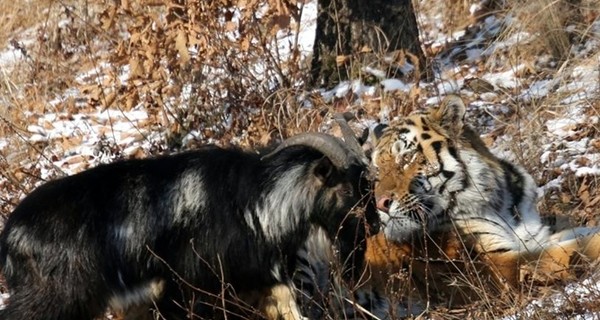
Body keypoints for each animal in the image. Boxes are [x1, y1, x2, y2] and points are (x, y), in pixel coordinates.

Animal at [0, 131, 378, 318]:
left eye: (369, 183)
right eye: (347, 189)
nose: (373, 225)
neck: (255, 202)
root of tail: (10, 237)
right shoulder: (192, 290)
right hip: (54, 299)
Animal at [364, 94, 600, 308]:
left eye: (406, 158)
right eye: (377, 172)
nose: (381, 204)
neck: (498, 202)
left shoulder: (534, 236)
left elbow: (578, 235)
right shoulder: (495, 265)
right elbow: (569, 251)